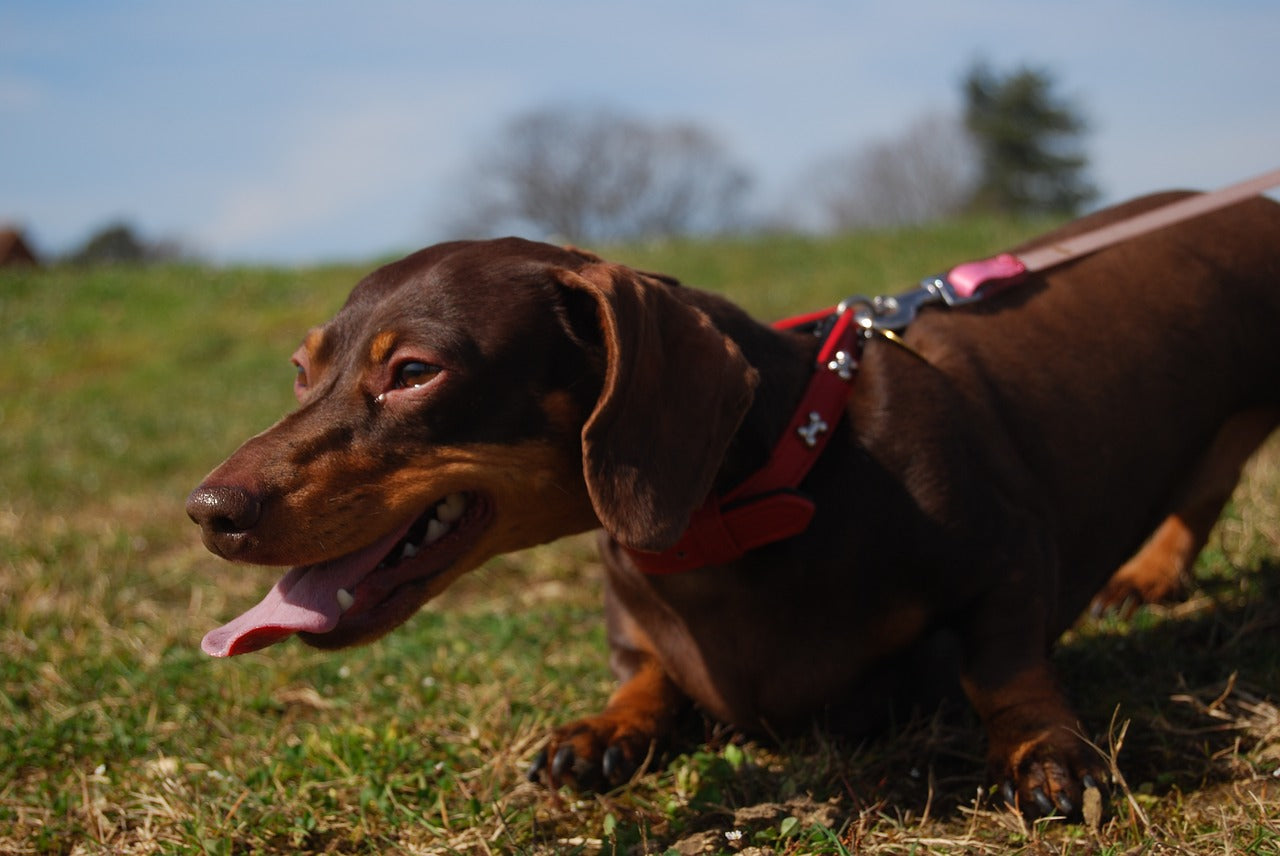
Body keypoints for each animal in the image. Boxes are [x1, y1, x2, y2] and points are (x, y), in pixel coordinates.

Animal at [186, 190, 1280, 818]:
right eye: (301, 370)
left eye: (413, 371)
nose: (208, 511)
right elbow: (647, 675)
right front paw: (606, 727)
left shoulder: (1009, 556)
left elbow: (1002, 664)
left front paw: (1047, 750)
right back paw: (1152, 573)